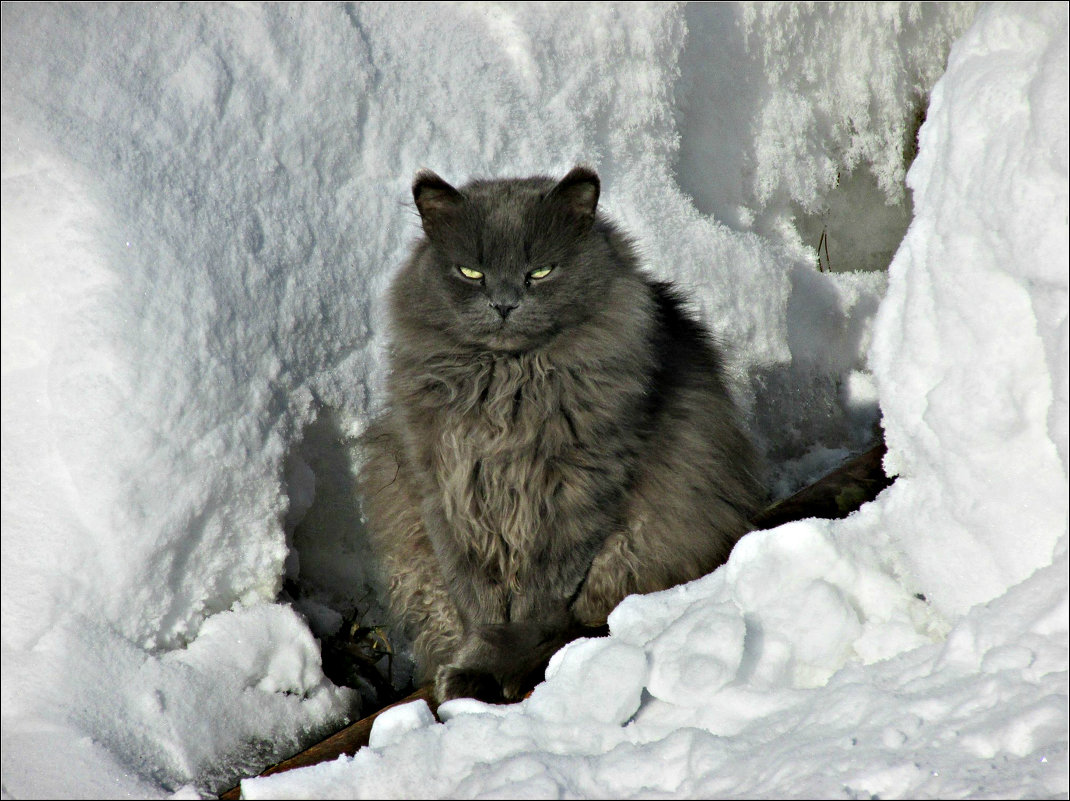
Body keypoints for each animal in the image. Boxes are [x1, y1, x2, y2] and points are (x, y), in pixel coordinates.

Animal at [355, 165, 766, 701]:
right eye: (471, 273)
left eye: (540, 272)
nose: (504, 304)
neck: (506, 387)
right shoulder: (444, 492)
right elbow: (479, 604)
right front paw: (473, 665)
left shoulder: (579, 488)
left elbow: (538, 602)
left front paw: (496, 666)